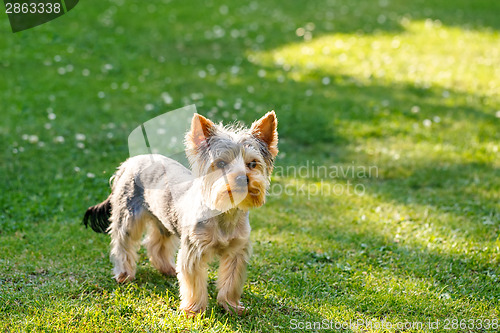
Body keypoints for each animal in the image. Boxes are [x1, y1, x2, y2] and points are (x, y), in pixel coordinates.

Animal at [82, 111, 278, 314]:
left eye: (253, 163)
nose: (241, 178)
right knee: (123, 243)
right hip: (128, 214)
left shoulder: (237, 251)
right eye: (221, 163)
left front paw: (231, 306)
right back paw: (124, 273)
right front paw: (194, 310)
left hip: (164, 217)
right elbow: (194, 282)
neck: (225, 212)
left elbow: (231, 281)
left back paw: (166, 268)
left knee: (156, 242)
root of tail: (130, 162)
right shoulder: (193, 250)